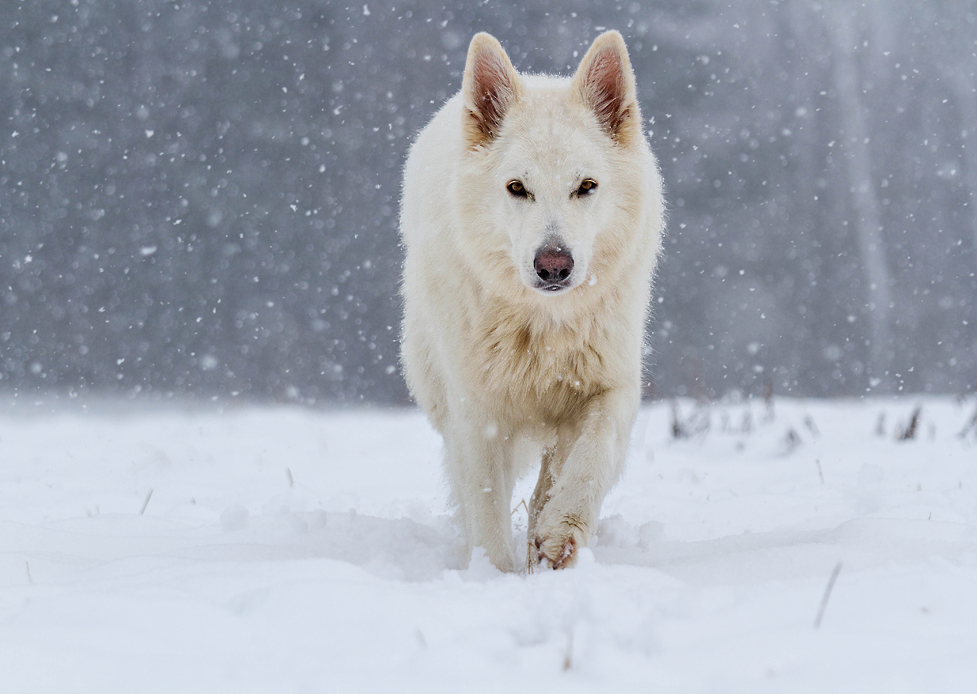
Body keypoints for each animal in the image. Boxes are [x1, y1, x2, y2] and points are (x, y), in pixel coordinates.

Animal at [396, 31, 664, 572]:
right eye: (517, 188)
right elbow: (485, 508)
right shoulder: (476, 411)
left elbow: (588, 462)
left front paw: (558, 535)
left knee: (550, 475)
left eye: (586, 186)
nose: (553, 265)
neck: (544, 326)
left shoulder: (610, 387)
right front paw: (493, 576)